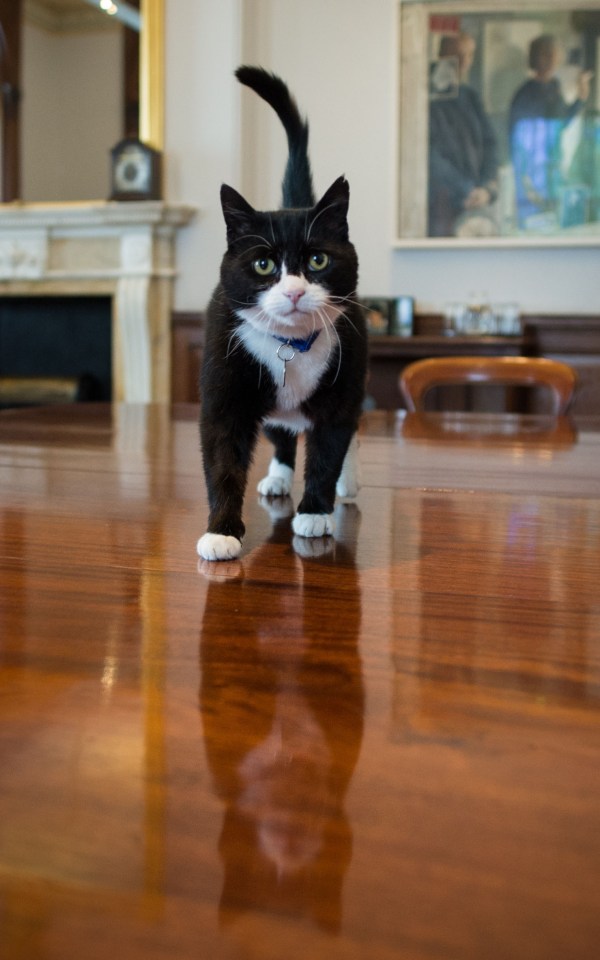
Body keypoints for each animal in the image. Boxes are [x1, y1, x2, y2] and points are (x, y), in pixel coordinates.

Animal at [197, 65, 366, 564]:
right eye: (263, 264)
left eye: (318, 261)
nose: (293, 291)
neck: (291, 346)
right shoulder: (225, 392)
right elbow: (223, 459)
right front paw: (221, 531)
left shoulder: (344, 383)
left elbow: (330, 448)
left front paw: (315, 512)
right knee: (283, 433)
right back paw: (277, 476)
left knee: (349, 431)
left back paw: (347, 483)